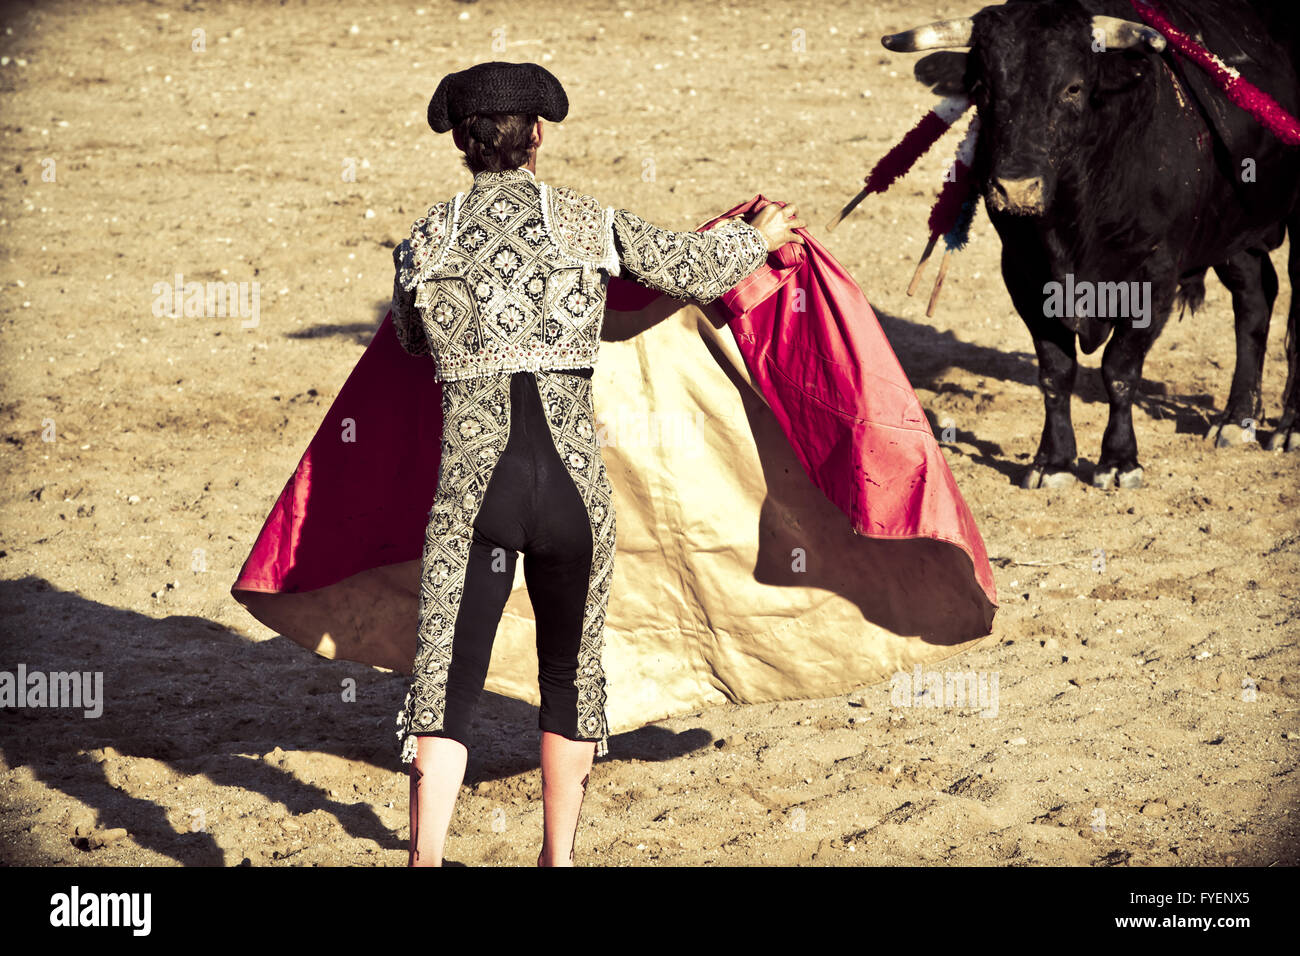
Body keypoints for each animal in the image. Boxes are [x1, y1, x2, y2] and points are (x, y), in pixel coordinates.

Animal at [878, 0, 1294, 489]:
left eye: (1073, 87)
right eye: (982, 87)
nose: (1015, 190)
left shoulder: (1155, 275)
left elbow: (1120, 368)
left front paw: (1118, 461)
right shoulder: (1023, 272)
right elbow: (1056, 371)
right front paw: (1053, 462)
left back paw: (1288, 428)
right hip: (1234, 229)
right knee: (1255, 298)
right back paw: (1237, 418)